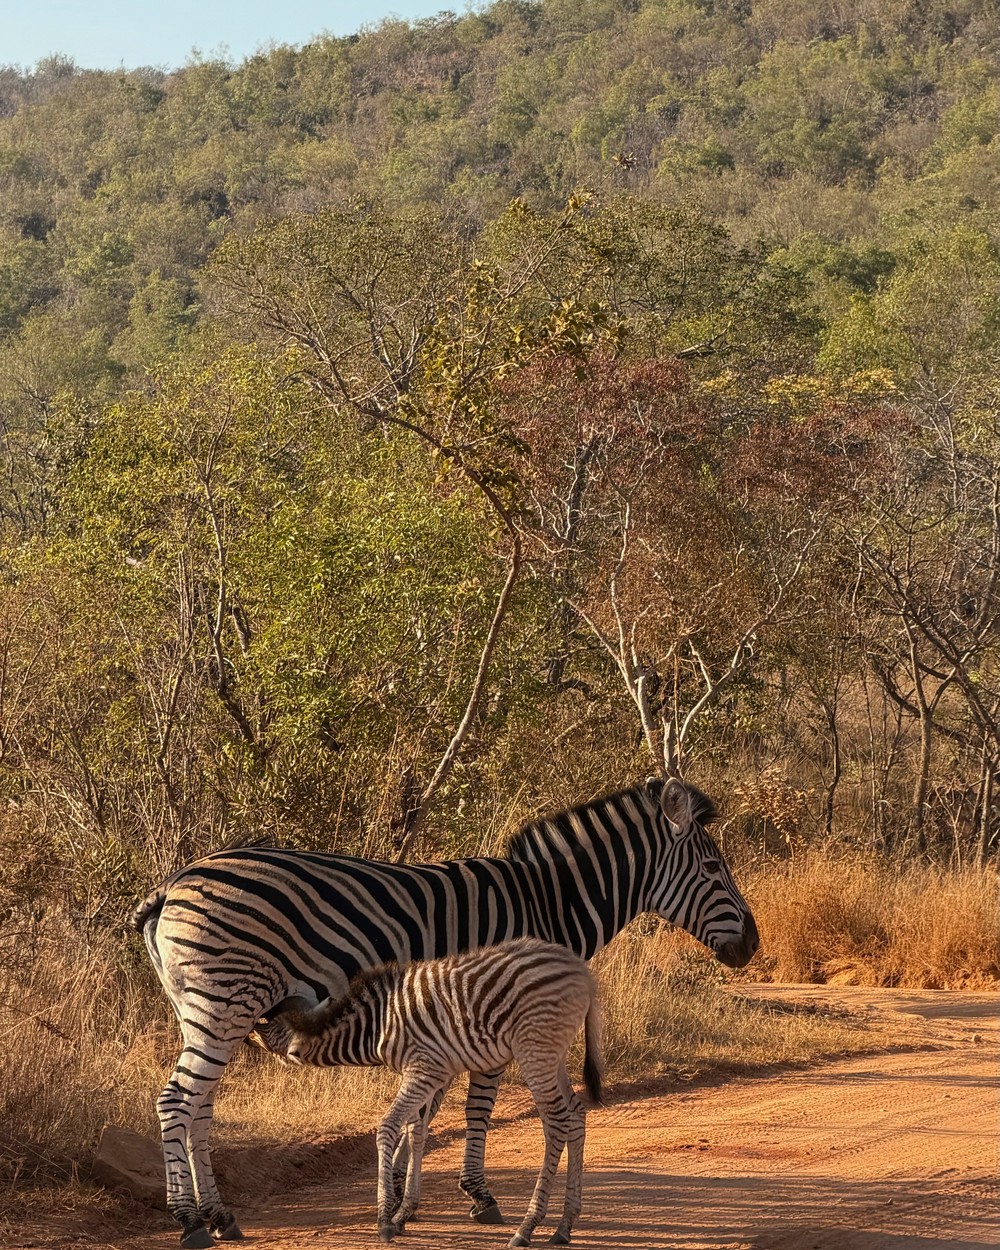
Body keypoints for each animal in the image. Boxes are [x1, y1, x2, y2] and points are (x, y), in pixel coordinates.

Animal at [258, 938, 604, 1246]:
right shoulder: (432, 1073)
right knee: (575, 1115)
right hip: (552, 1055)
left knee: (557, 1122)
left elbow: (388, 1127)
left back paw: (527, 1227)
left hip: (534, 1050)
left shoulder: (423, 1069)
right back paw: (564, 1225)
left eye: (264, 1028)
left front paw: (385, 1221)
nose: (247, 1036)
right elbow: (417, 1132)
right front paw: (403, 1213)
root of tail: (581, 972)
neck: (377, 1025)